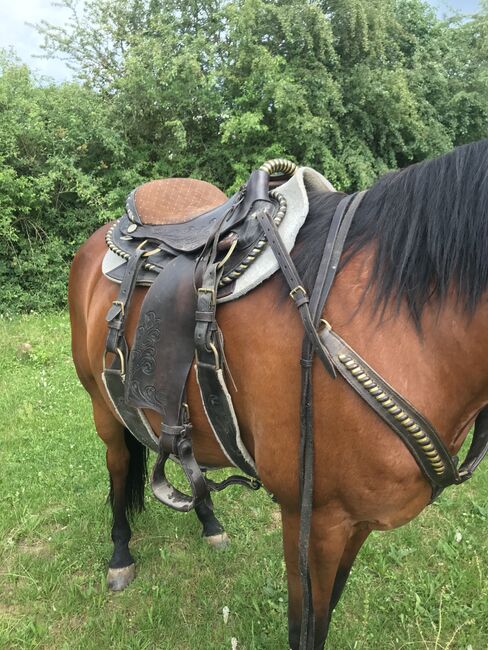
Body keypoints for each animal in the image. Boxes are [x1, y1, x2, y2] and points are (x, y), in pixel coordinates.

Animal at [67, 139, 488, 644]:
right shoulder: (314, 519)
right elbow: (304, 627)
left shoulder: (355, 523)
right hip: (103, 408)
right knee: (117, 467)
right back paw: (120, 556)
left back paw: (209, 522)